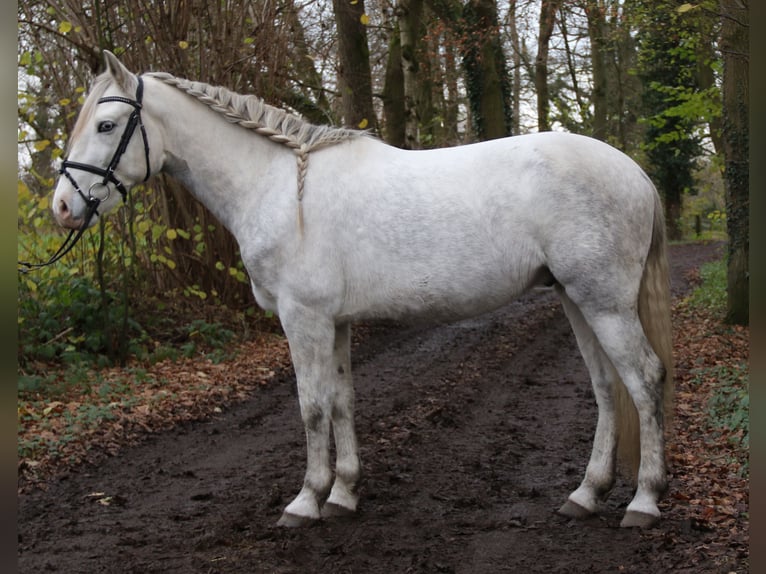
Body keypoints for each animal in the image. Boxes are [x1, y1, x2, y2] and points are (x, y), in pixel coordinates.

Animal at [52, 53, 672, 532]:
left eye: (106, 126)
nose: (61, 208)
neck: (279, 187)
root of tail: (636, 173)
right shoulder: (336, 323)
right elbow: (342, 402)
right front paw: (344, 494)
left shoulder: (303, 320)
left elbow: (310, 407)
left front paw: (306, 502)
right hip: (574, 298)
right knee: (605, 386)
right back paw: (586, 495)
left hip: (604, 302)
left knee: (642, 379)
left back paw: (643, 502)